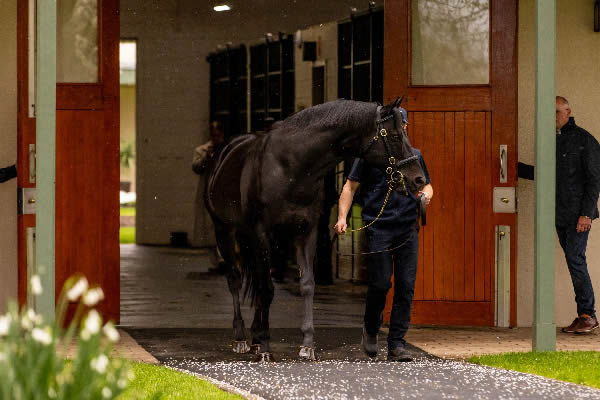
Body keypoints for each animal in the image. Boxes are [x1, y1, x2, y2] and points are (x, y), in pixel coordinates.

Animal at [206, 98, 426, 360]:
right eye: (394, 136)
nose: (419, 180)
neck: (290, 167)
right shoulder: (261, 233)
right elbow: (266, 289)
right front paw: (267, 350)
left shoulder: (306, 232)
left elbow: (307, 285)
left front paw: (307, 346)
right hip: (225, 231)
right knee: (236, 279)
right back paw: (241, 338)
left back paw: (256, 338)